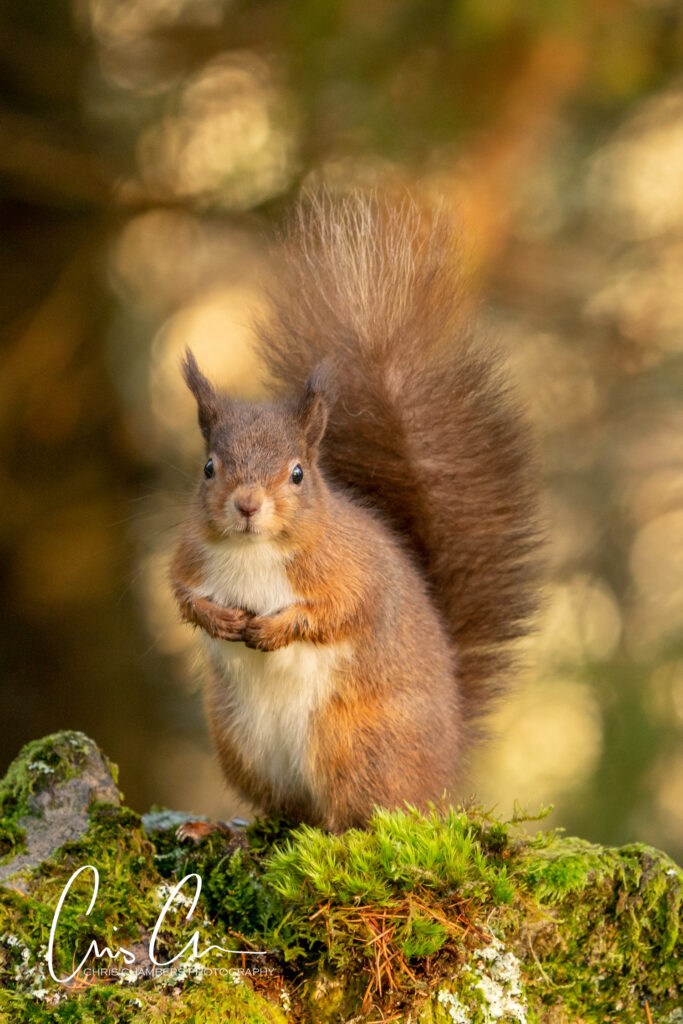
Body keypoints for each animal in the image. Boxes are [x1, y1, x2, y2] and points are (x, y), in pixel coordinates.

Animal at [170, 192, 540, 833]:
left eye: (297, 473)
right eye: (210, 468)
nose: (247, 505)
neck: (252, 551)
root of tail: (444, 771)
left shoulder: (351, 571)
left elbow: (340, 611)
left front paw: (274, 628)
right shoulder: (189, 556)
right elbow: (182, 595)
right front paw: (219, 619)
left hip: (353, 742)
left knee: (363, 813)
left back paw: (341, 836)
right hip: (241, 742)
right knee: (286, 810)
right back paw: (228, 830)